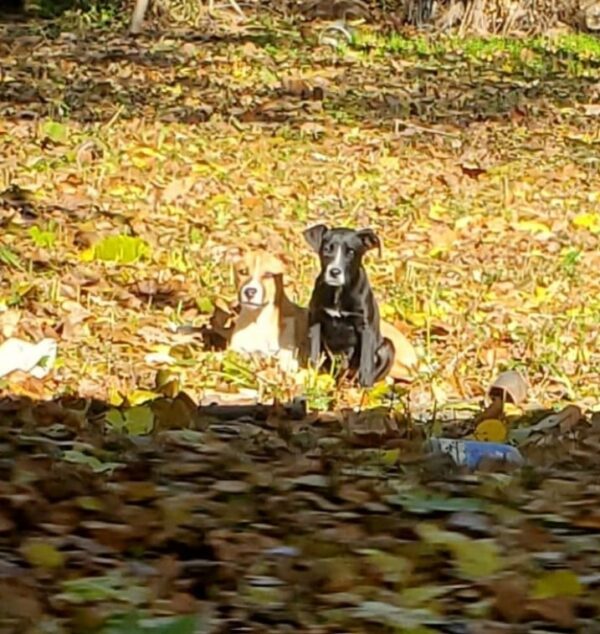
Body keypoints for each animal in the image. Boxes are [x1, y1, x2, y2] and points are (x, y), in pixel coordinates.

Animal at [302, 225, 396, 388]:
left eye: (351, 252)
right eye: (326, 249)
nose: (334, 272)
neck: (339, 291)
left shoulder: (366, 326)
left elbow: (366, 360)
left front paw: (365, 385)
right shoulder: (315, 319)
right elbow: (314, 351)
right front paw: (312, 374)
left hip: (387, 347)